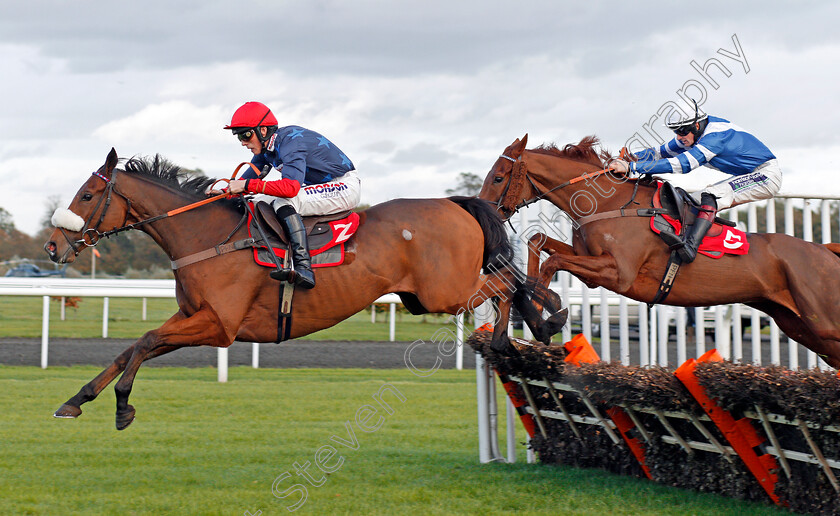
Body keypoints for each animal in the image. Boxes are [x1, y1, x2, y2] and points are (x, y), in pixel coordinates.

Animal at [44, 150, 556, 432]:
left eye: (87, 195)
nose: (52, 245)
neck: (207, 236)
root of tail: (455, 203)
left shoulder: (219, 326)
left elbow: (145, 342)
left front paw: (121, 406)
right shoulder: (192, 317)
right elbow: (130, 348)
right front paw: (77, 400)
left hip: (444, 292)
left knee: (504, 285)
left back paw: (519, 332)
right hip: (427, 296)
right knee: (507, 285)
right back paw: (540, 321)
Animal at [480, 133, 840, 366]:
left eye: (498, 178)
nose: (485, 212)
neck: (610, 203)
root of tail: (825, 250)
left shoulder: (618, 274)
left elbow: (552, 261)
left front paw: (547, 318)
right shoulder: (591, 266)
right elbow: (538, 242)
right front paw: (529, 321)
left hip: (823, 322)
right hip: (802, 327)